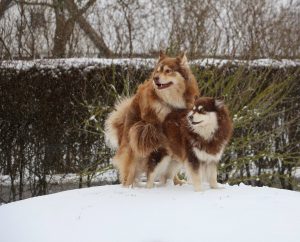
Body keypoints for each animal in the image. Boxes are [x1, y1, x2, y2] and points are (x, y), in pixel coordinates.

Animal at [105, 52, 199, 186]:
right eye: (157, 71)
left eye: (168, 71)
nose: (155, 78)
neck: (171, 101)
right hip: (133, 147)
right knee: (130, 172)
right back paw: (129, 186)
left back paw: (175, 182)